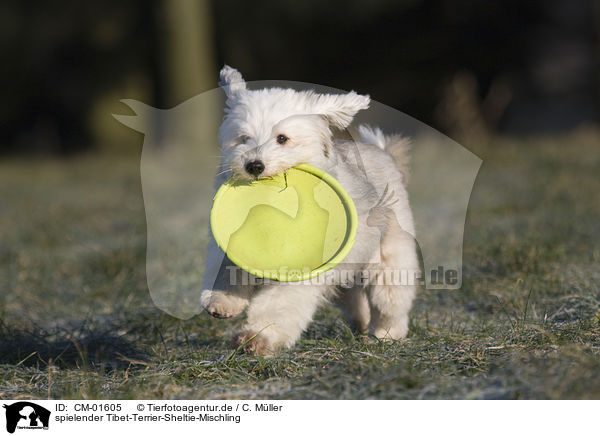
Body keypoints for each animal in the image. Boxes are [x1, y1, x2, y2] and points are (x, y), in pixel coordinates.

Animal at [200, 67, 418, 354]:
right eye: (243, 138)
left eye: (282, 138)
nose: (254, 165)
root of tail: (383, 153)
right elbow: (227, 267)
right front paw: (222, 302)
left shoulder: (302, 270)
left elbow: (278, 303)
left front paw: (257, 338)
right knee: (354, 299)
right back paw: (361, 327)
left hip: (389, 258)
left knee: (390, 301)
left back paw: (387, 334)